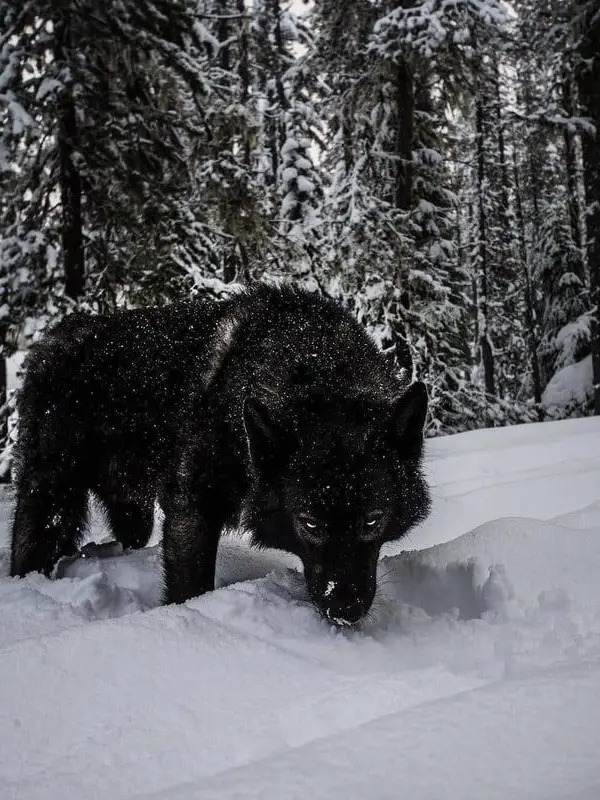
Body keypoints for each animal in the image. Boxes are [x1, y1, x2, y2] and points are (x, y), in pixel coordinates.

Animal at [10, 284, 431, 625]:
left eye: (373, 520)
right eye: (310, 524)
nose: (344, 610)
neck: (313, 361)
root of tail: (51, 341)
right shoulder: (192, 509)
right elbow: (190, 586)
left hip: (133, 512)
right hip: (49, 503)